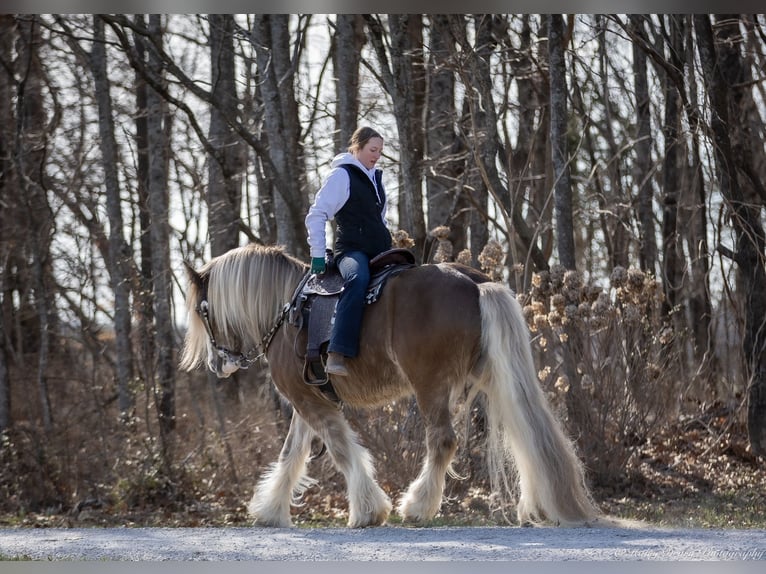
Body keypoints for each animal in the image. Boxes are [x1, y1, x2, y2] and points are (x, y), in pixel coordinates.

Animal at [178, 245, 600, 528]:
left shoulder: (307, 399)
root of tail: (474, 283)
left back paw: (418, 505)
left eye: (202, 310)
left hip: (431, 384)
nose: (219, 364)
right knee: (526, 434)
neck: (286, 311)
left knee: (443, 441)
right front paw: (270, 509)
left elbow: (340, 449)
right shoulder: (306, 398)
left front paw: (367, 509)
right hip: (495, 378)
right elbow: (291, 453)